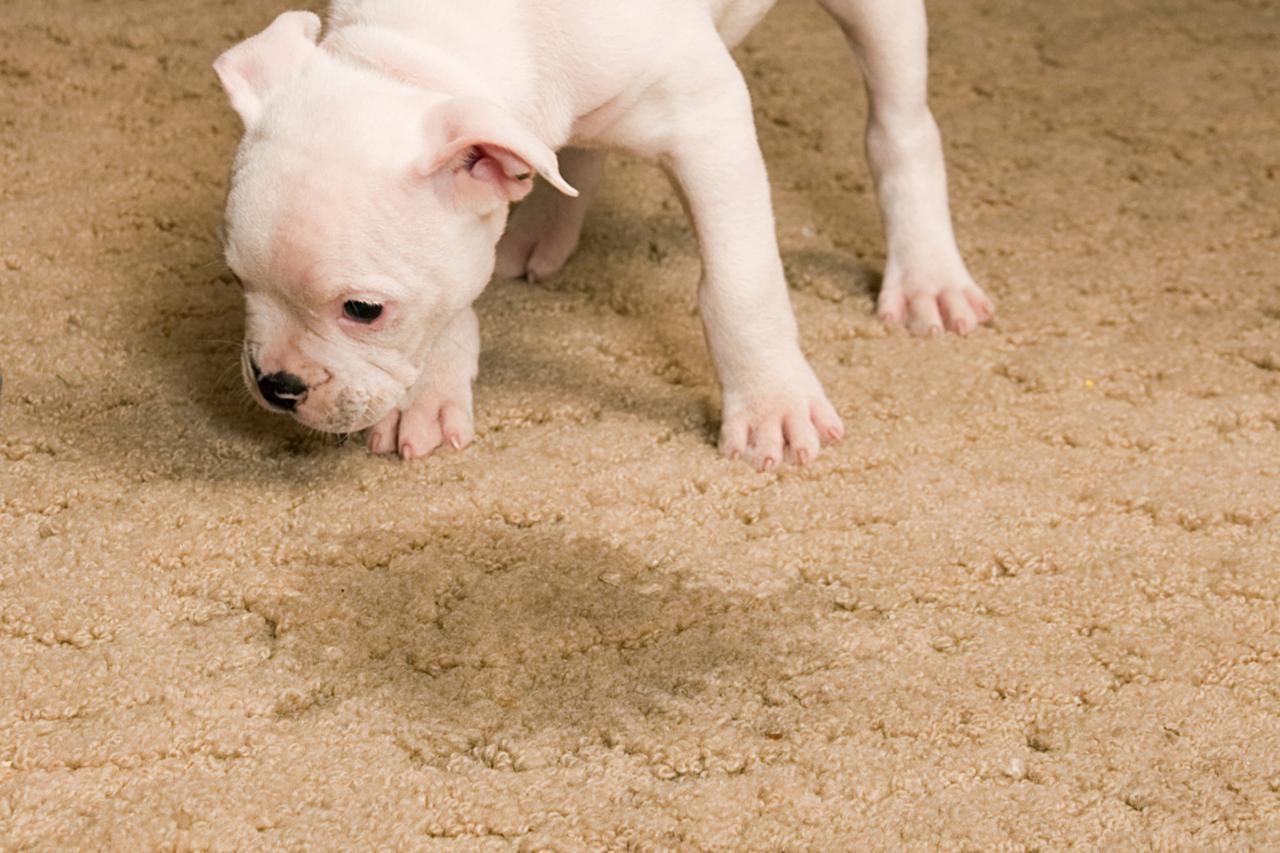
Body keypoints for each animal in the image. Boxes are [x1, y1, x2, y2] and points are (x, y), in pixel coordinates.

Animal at [212, 0, 988, 468]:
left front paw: (772, 403)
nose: (275, 385)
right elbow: (456, 291)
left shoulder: (710, 123)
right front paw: (431, 390)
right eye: (237, 279)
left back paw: (928, 277)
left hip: (879, 24)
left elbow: (739, 286)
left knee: (900, 127)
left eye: (363, 310)